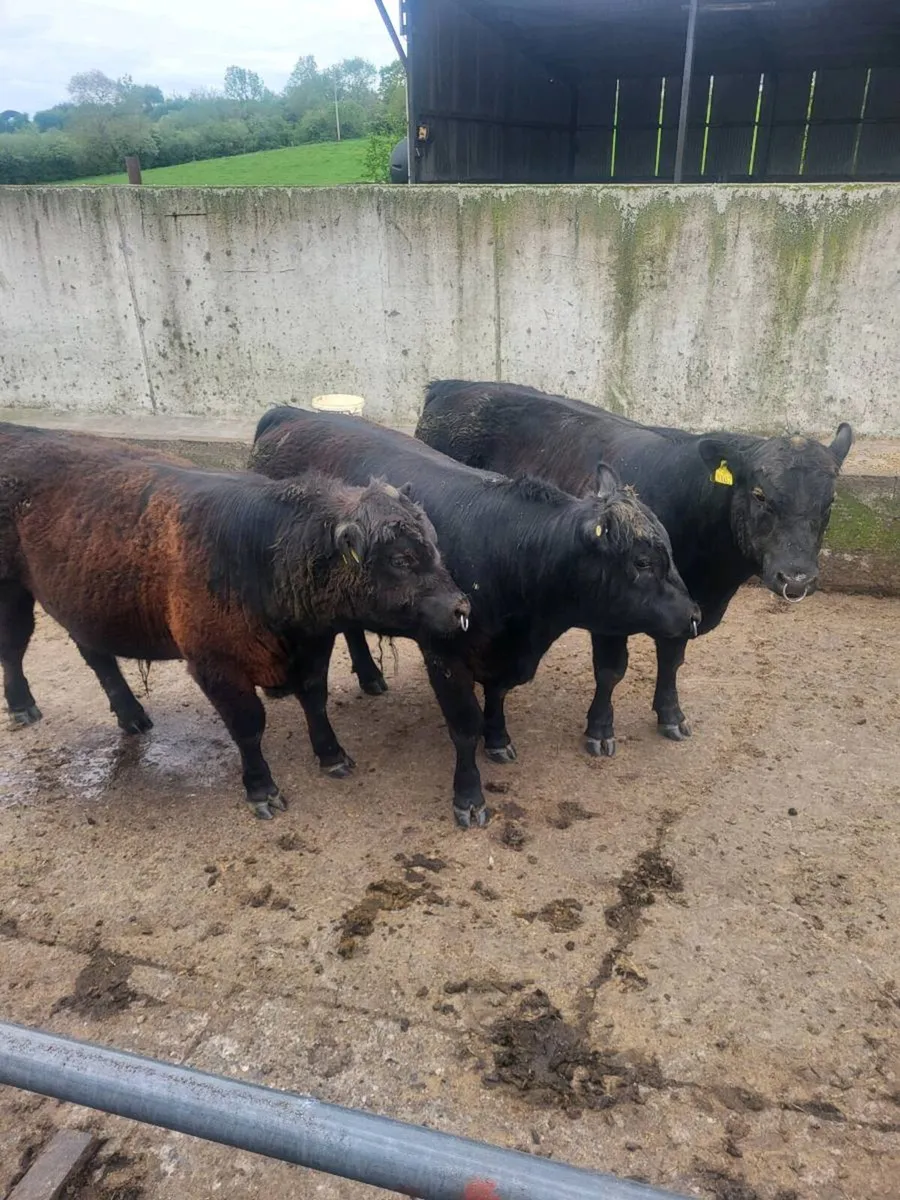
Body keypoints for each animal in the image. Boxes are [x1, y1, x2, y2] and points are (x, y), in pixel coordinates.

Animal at [0, 423, 469, 819]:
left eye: (434, 546)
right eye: (400, 558)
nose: (460, 606)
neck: (264, 554)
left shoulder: (312, 649)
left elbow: (315, 702)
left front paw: (332, 756)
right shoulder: (218, 667)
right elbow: (248, 726)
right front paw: (262, 790)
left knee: (98, 658)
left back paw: (132, 716)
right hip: (13, 592)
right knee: (14, 646)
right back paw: (23, 706)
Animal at [251, 406, 700, 827]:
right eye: (642, 562)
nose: (694, 613)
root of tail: (290, 415)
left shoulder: (502, 654)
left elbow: (497, 694)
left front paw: (498, 738)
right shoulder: (445, 654)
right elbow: (464, 728)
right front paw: (469, 797)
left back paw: (371, 676)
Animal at [417, 380, 853, 755]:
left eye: (830, 500)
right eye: (761, 495)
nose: (796, 577)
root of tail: (450, 385)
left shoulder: (686, 606)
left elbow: (672, 659)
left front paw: (671, 715)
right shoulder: (610, 612)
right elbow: (611, 671)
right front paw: (600, 730)